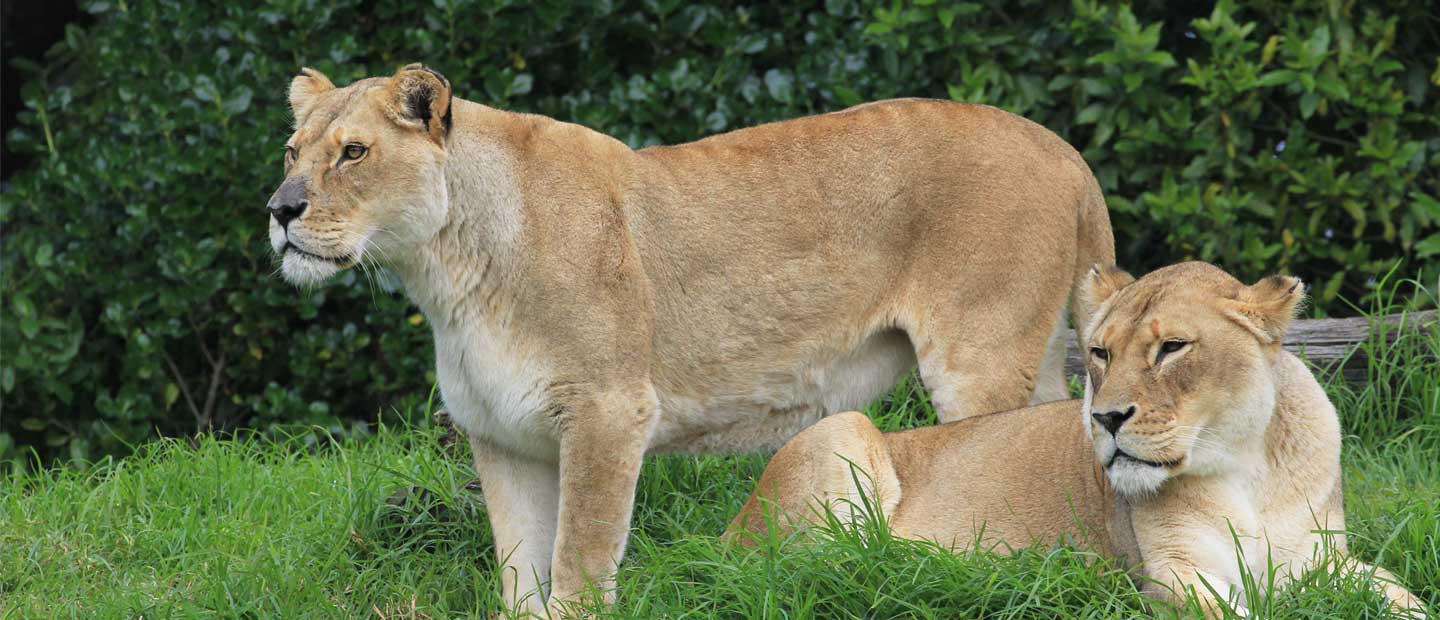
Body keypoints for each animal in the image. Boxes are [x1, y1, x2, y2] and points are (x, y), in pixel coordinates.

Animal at [268, 64, 1114, 615]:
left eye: (353, 152)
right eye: (291, 151)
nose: (280, 210)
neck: (445, 272)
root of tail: (1066, 150)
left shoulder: (608, 412)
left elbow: (578, 557)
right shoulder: (502, 436)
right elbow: (518, 572)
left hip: (977, 361)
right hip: (1038, 357)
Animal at [726, 262, 1426, 618]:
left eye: (1172, 348)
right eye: (1100, 352)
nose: (1107, 418)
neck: (1248, 468)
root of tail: (730, 526)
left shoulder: (1322, 561)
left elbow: (1401, 594)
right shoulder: (1177, 574)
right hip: (844, 430)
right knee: (832, 567)